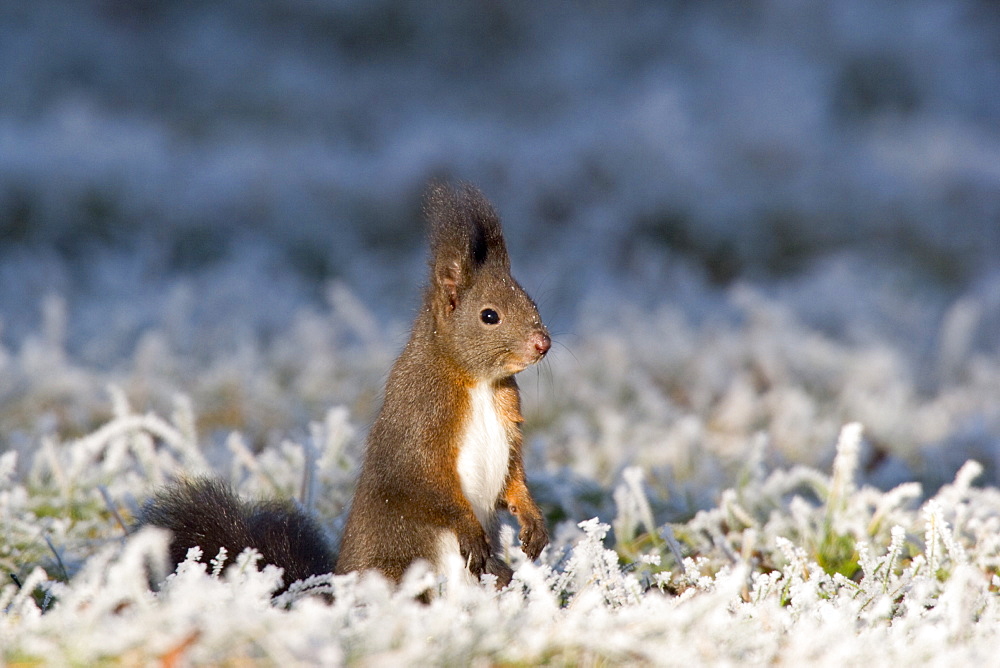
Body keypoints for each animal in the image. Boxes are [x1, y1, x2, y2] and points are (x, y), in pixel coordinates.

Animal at [138, 183, 552, 588]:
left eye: (532, 302)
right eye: (489, 316)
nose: (543, 343)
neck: (478, 381)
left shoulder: (508, 417)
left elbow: (513, 476)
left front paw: (533, 521)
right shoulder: (421, 417)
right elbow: (423, 482)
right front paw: (469, 527)